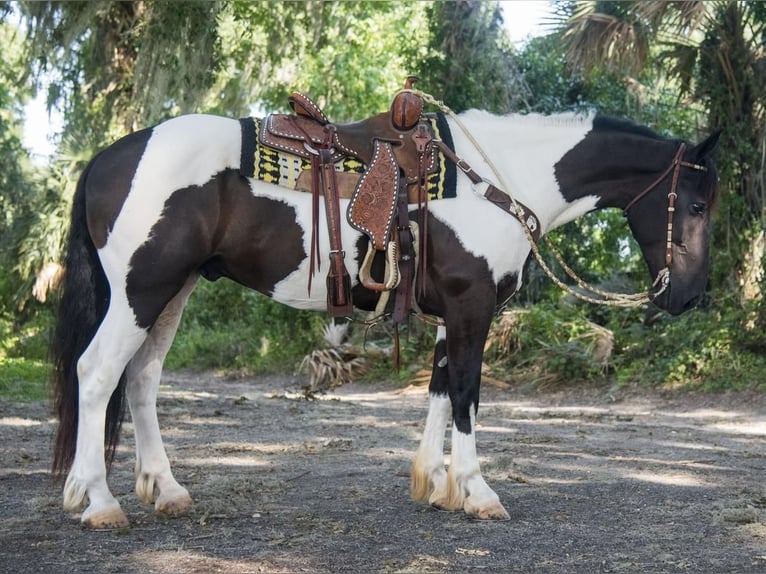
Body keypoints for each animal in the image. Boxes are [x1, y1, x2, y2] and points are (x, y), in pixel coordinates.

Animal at [49, 104, 720, 532]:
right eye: (695, 203)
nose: (688, 298)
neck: (499, 181)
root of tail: (109, 157)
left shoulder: (452, 313)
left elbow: (441, 388)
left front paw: (436, 485)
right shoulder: (472, 306)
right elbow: (468, 393)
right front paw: (477, 492)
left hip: (172, 292)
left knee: (140, 380)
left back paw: (166, 491)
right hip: (141, 289)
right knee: (97, 373)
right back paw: (99, 501)